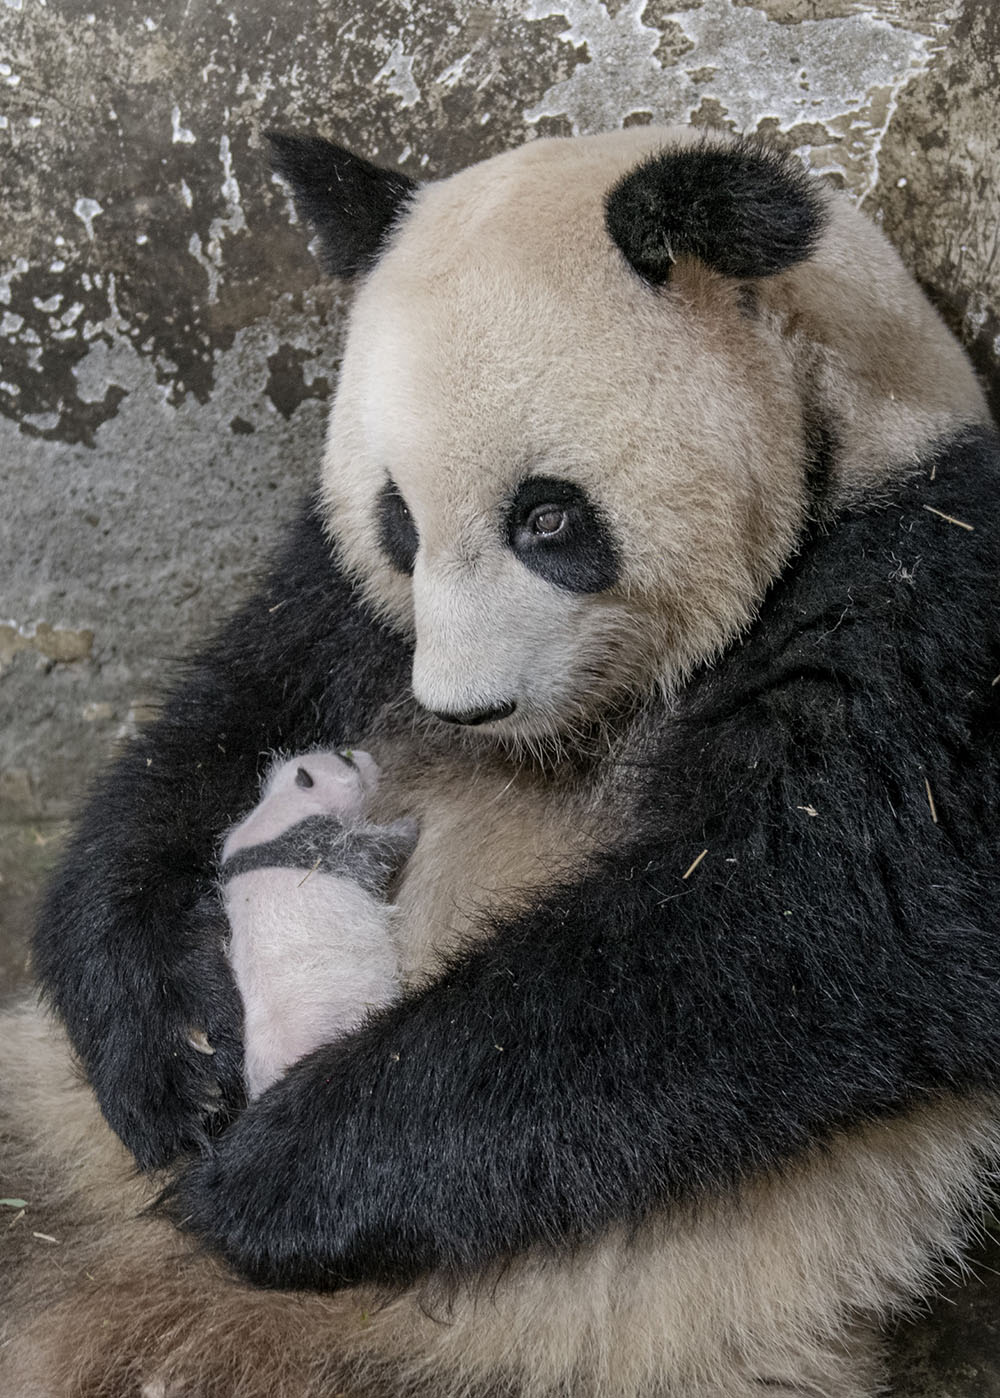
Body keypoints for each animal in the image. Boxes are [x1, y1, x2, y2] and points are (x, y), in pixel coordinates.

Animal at [1, 123, 1000, 1398]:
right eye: (399, 521)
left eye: (547, 518)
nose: (464, 708)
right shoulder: (343, 606)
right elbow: (208, 733)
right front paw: (177, 1060)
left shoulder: (924, 593)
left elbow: (795, 924)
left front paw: (271, 1177)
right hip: (44, 1130)